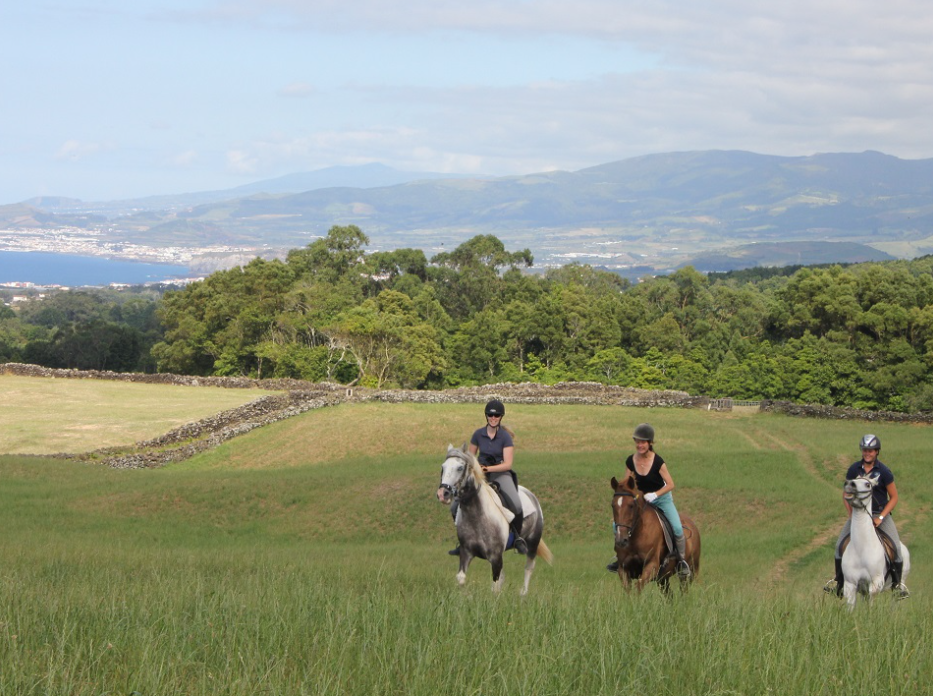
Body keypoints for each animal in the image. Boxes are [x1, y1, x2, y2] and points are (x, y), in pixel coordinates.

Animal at [436, 444, 552, 596]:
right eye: (443, 467)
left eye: (460, 468)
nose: (442, 494)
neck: (476, 516)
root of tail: (531, 495)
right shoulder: (466, 552)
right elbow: (461, 578)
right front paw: (466, 597)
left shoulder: (496, 556)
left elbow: (495, 584)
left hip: (533, 542)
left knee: (529, 567)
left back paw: (523, 593)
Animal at [840, 478, 908, 608]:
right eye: (852, 479)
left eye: (867, 484)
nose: (849, 484)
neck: (861, 549)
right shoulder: (851, 584)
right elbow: (851, 607)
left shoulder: (876, 583)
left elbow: (871, 606)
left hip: (898, 584)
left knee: (895, 599)